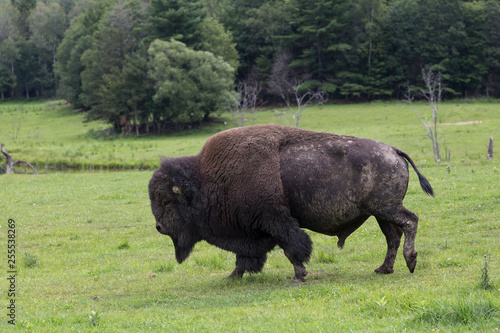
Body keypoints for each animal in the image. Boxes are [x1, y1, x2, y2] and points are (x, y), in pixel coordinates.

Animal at [148, 124, 434, 280]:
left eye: (167, 201)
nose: (159, 227)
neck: (206, 178)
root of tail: (393, 150)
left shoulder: (276, 221)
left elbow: (292, 248)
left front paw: (299, 275)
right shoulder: (251, 229)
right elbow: (245, 256)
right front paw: (233, 276)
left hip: (387, 208)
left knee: (410, 221)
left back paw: (411, 261)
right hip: (380, 213)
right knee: (393, 236)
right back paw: (383, 269)